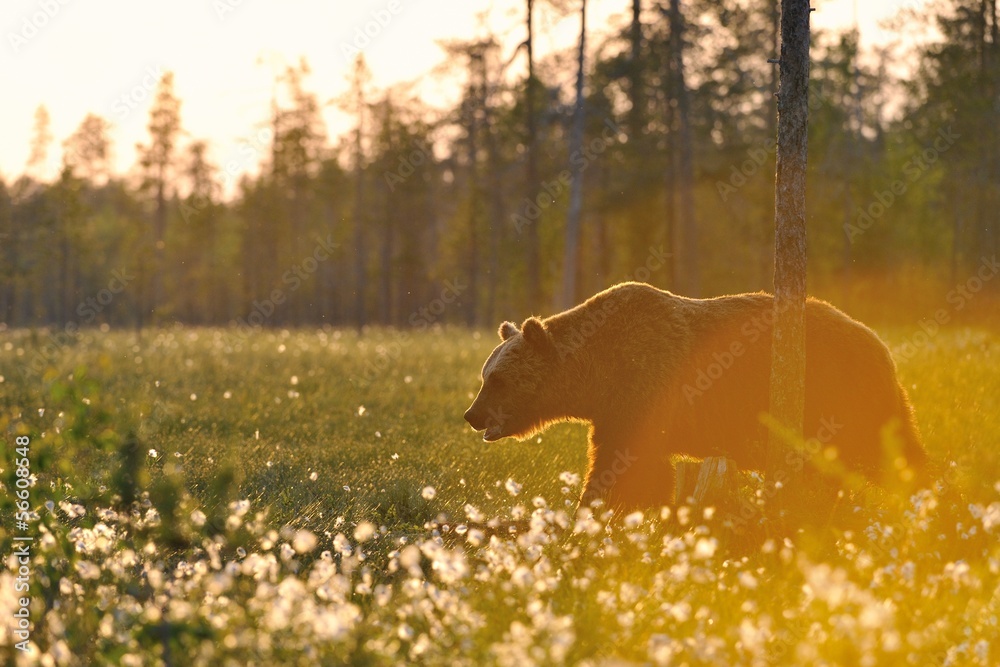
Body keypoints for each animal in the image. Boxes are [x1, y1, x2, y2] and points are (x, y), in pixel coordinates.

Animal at [463, 282, 926, 512]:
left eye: (498, 379)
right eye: (484, 374)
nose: (472, 414)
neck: (596, 377)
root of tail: (878, 341)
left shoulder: (644, 391)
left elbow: (626, 468)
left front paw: (594, 515)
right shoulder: (614, 412)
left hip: (842, 397)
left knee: (893, 454)